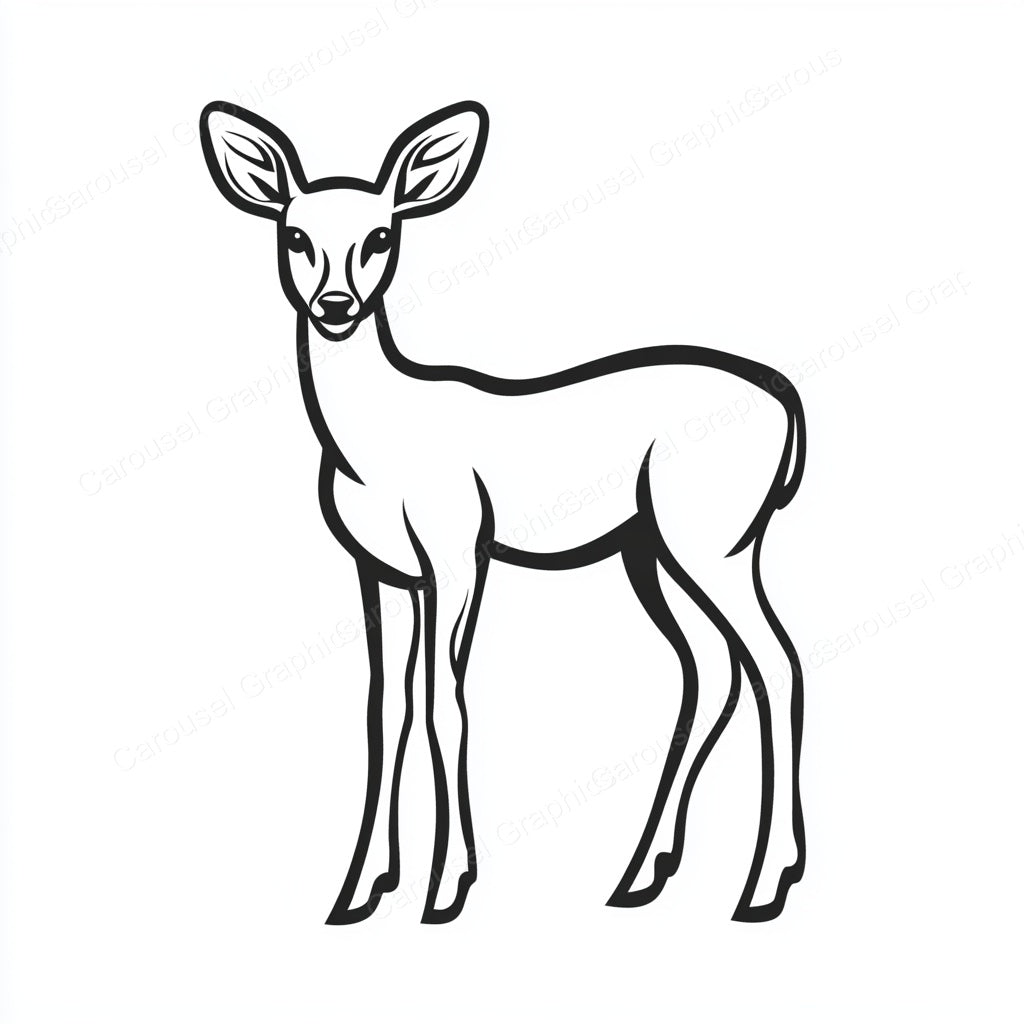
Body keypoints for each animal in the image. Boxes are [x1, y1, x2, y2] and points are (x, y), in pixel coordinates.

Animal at [200, 99, 807, 925]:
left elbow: (443, 701)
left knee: (776, 663)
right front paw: (359, 890)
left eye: (381, 235)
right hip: (650, 552)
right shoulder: (379, 570)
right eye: (294, 235)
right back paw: (641, 875)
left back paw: (763, 884)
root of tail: (789, 408)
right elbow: (384, 709)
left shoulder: (458, 550)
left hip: (714, 541)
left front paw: (446, 887)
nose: (336, 306)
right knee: (712, 670)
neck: (376, 439)